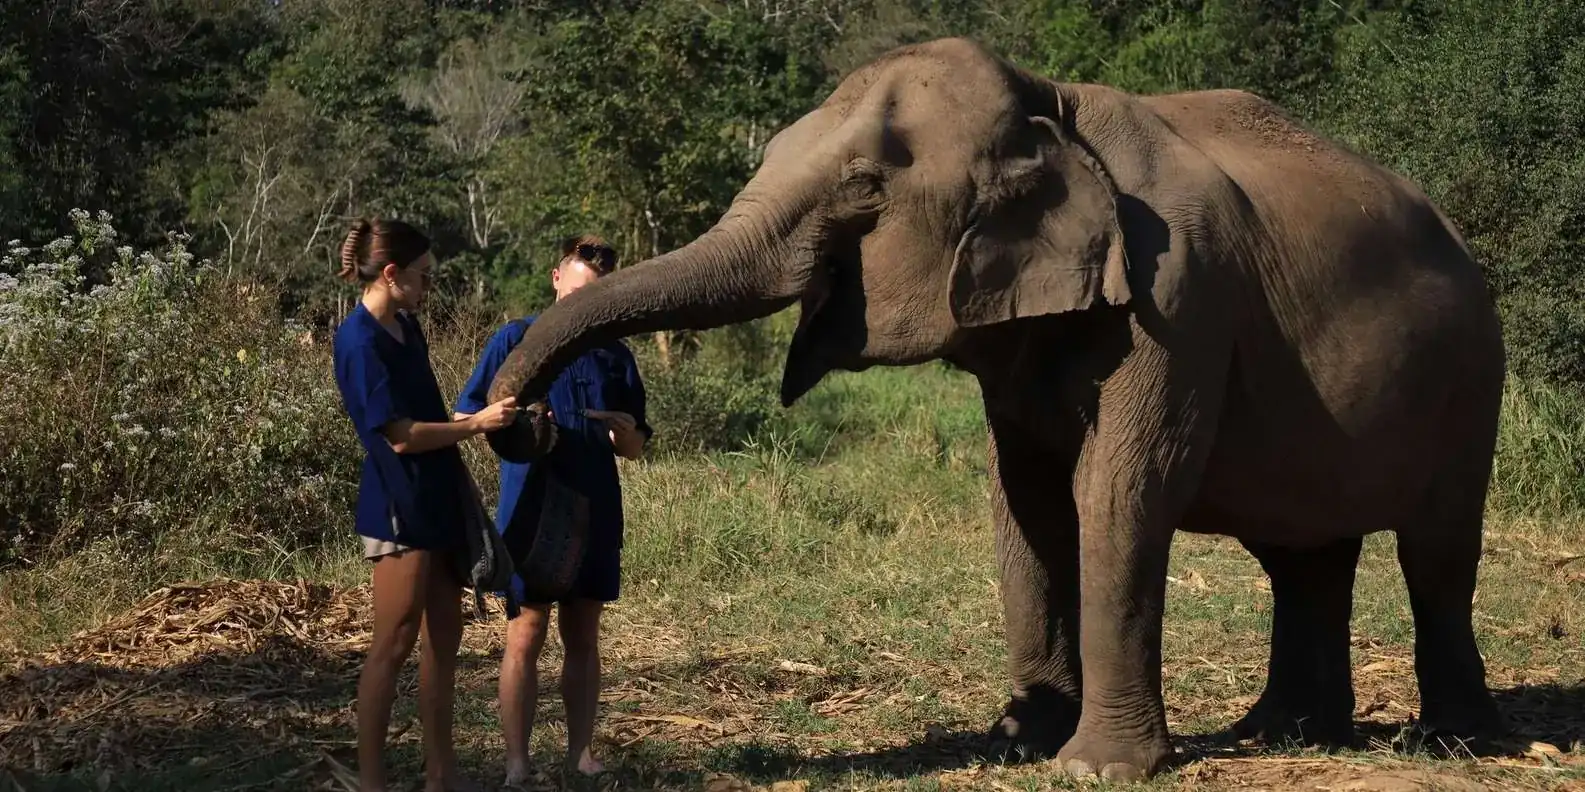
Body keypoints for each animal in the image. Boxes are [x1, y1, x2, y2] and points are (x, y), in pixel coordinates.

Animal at [482, 37, 1507, 781]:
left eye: (863, 189)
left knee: (1434, 551)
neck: (1053, 104)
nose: (519, 424)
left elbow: (1119, 493)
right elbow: (1025, 500)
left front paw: (1094, 770)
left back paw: (1444, 742)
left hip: (1470, 379)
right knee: (1303, 555)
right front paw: (1017, 740)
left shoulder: (1179, 300)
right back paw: (1283, 731)